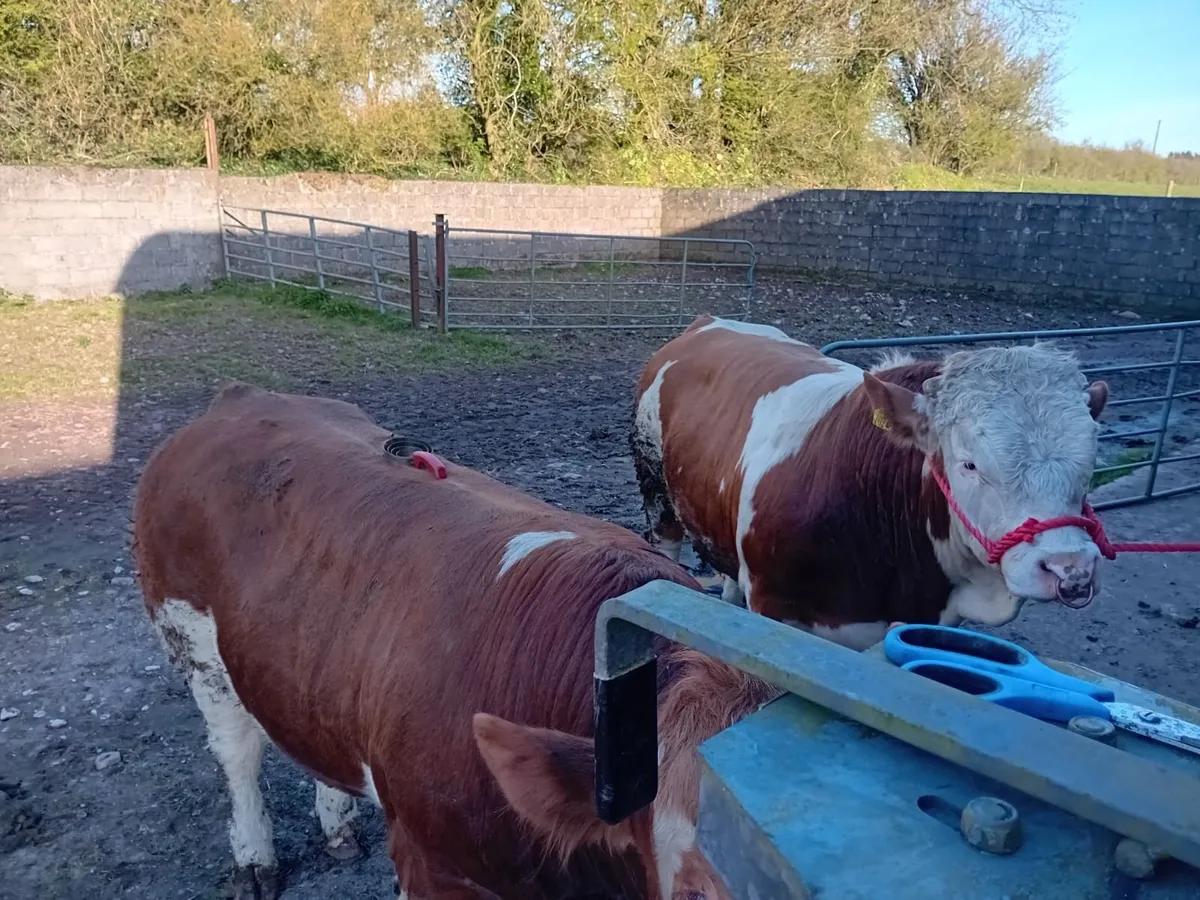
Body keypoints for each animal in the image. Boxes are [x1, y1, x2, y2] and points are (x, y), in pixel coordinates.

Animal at [133, 383, 776, 900]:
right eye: (696, 892)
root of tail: (241, 399)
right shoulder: (432, 862)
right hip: (191, 638)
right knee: (237, 750)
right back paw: (255, 860)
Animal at [631, 315, 1110, 651]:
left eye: (1089, 462)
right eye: (969, 464)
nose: (1069, 569)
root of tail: (709, 322)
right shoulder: (773, 605)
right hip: (657, 493)